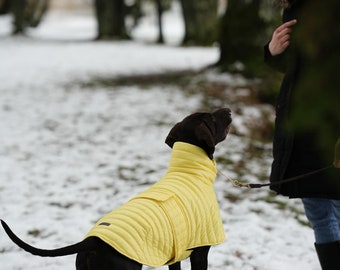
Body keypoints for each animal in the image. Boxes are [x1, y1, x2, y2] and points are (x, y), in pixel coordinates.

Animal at [0, 108, 231, 270]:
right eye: (211, 119)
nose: (228, 110)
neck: (188, 171)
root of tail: (92, 242)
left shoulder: (176, 256)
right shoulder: (200, 252)